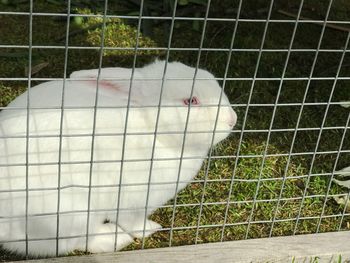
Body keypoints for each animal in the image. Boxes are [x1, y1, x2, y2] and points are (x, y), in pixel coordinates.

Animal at [0, 60, 237, 256]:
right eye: (191, 100)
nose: (232, 120)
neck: (152, 127)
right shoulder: (134, 201)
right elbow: (133, 222)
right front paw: (151, 229)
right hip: (72, 214)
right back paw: (116, 238)